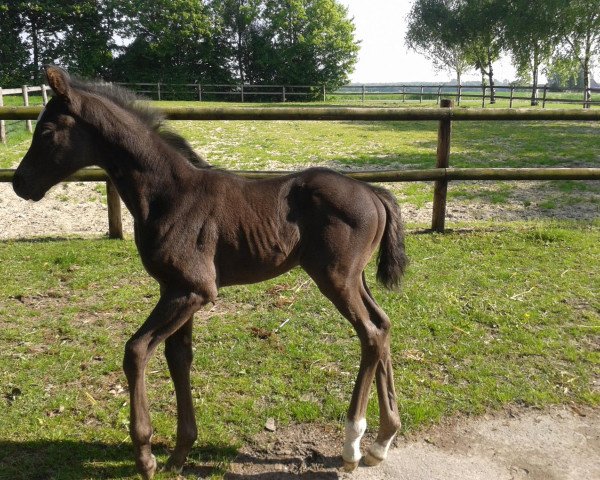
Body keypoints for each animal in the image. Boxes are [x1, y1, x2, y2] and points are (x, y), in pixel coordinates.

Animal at [12, 65, 408, 478]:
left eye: (46, 131)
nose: (19, 182)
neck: (168, 195)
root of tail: (373, 192)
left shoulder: (196, 290)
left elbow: (136, 351)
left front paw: (146, 455)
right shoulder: (175, 288)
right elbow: (178, 356)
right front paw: (179, 453)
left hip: (335, 278)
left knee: (370, 334)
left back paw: (352, 445)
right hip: (354, 278)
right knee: (383, 326)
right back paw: (380, 443)